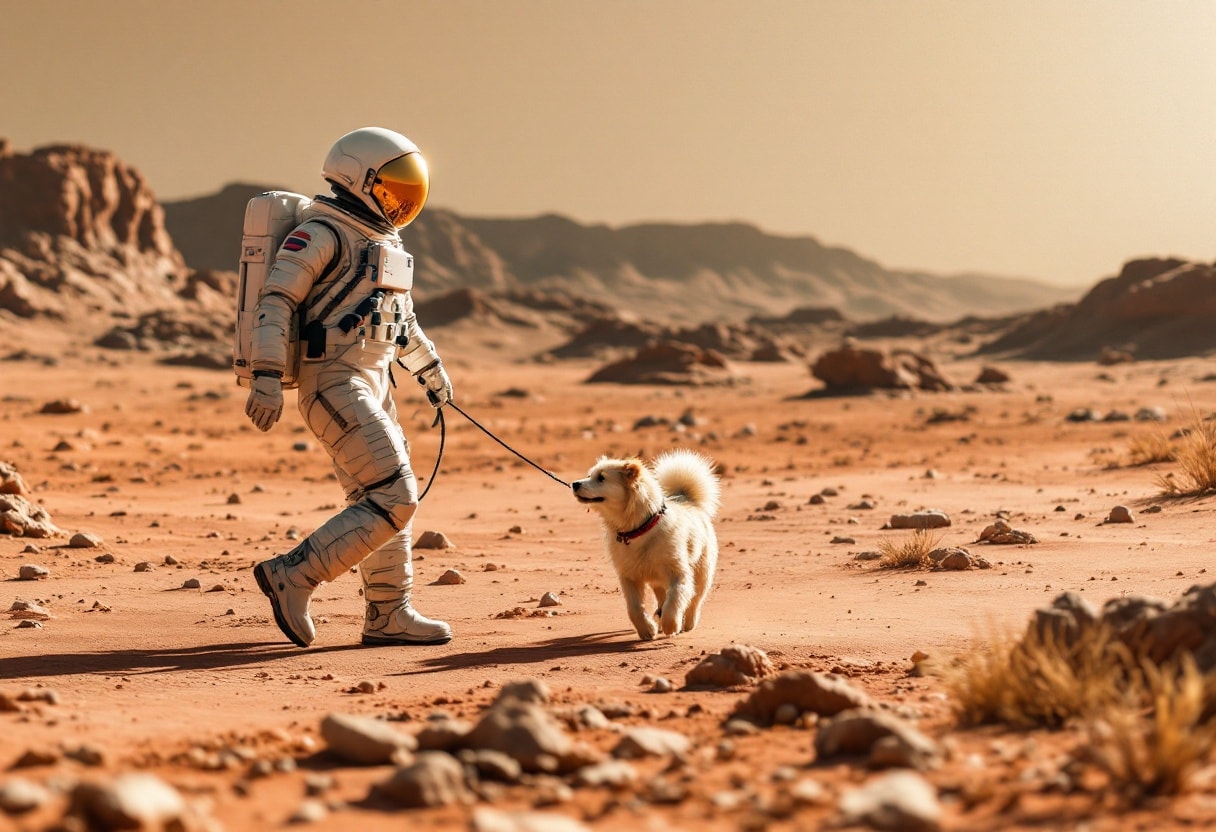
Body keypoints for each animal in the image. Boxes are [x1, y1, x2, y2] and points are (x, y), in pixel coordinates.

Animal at [571, 452, 719, 642]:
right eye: (589, 475)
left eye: (601, 478)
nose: (575, 484)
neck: (637, 530)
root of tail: (686, 499)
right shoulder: (628, 576)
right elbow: (634, 608)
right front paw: (647, 630)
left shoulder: (678, 573)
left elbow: (675, 598)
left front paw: (671, 624)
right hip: (658, 581)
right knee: (663, 597)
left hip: (702, 571)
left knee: (696, 599)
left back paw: (688, 623)